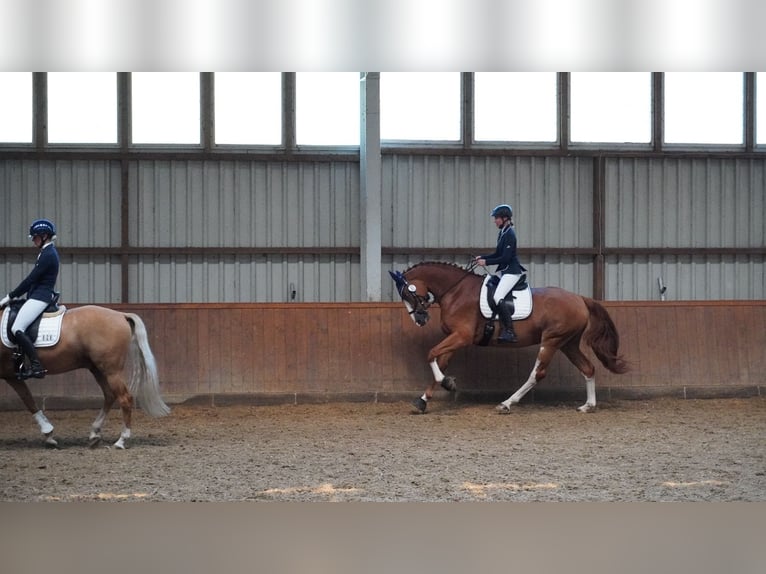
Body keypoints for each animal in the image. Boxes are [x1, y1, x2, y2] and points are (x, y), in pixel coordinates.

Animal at [1, 305, 170, 448]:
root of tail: (121, 315)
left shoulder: (10, 376)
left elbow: (28, 400)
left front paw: (48, 434)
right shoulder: (11, 376)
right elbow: (28, 400)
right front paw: (48, 434)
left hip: (111, 371)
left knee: (124, 398)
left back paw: (121, 440)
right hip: (97, 369)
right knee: (109, 395)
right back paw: (95, 433)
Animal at [389, 262, 628, 414]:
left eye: (407, 293)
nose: (420, 319)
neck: (456, 291)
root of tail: (579, 298)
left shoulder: (462, 336)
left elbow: (431, 354)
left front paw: (446, 383)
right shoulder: (454, 338)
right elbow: (440, 361)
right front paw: (425, 399)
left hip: (552, 340)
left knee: (538, 374)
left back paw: (507, 403)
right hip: (567, 343)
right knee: (588, 368)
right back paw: (588, 406)